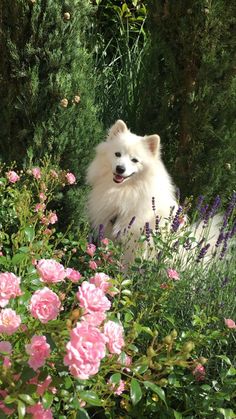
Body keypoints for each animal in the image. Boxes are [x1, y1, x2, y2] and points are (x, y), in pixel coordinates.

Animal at [86, 120, 177, 260]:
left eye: (134, 160)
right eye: (117, 154)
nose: (120, 169)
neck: (123, 190)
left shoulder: (134, 241)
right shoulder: (109, 231)